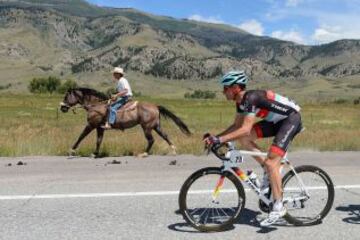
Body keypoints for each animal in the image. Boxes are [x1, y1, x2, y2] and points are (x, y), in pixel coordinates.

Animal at [59, 88, 191, 158]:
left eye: (66, 96)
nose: (62, 108)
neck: (96, 106)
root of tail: (155, 106)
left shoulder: (91, 125)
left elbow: (81, 137)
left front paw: (71, 150)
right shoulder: (100, 128)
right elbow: (98, 141)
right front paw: (95, 153)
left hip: (147, 127)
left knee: (151, 140)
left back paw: (144, 153)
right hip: (156, 126)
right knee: (165, 136)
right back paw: (173, 150)